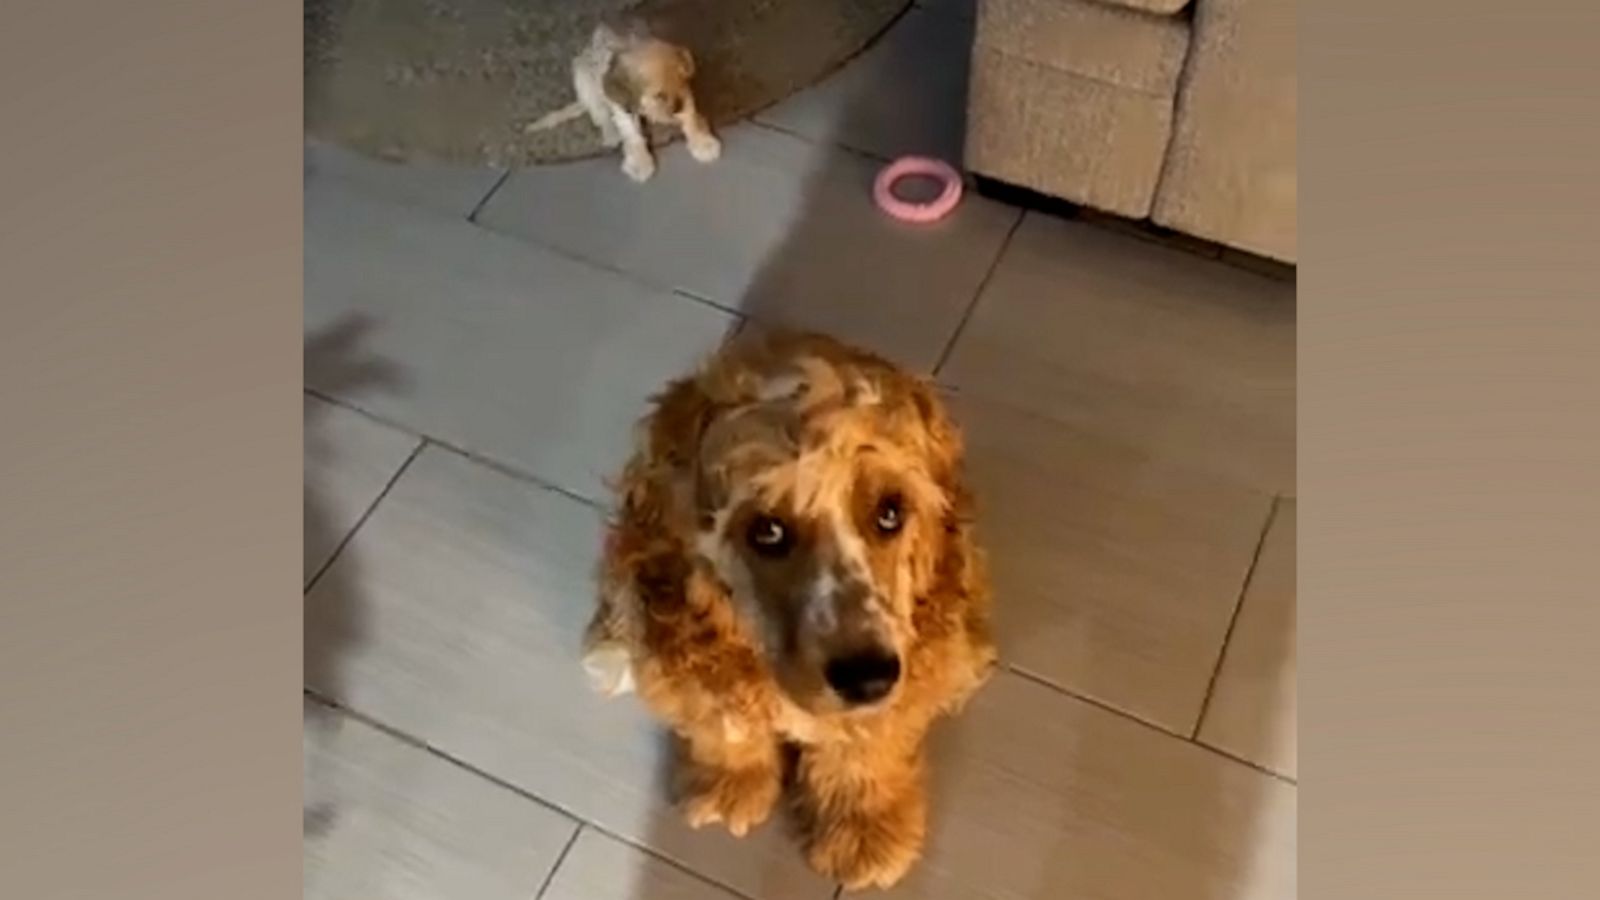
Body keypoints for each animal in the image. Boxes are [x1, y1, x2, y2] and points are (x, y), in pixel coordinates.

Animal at [524, 21, 720, 180]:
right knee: (600, 114)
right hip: (583, 79)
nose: (678, 109)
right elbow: (631, 133)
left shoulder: (685, 95)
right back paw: (611, 133)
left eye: (684, 80)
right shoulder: (622, 107)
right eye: (658, 95)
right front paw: (639, 162)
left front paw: (702, 141)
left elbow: (690, 116)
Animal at [582, 328, 992, 883]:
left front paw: (863, 832)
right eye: (768, 530)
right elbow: (726, 720)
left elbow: (866, 743)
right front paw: (731, 788)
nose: (868, 679)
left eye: (890, 512)